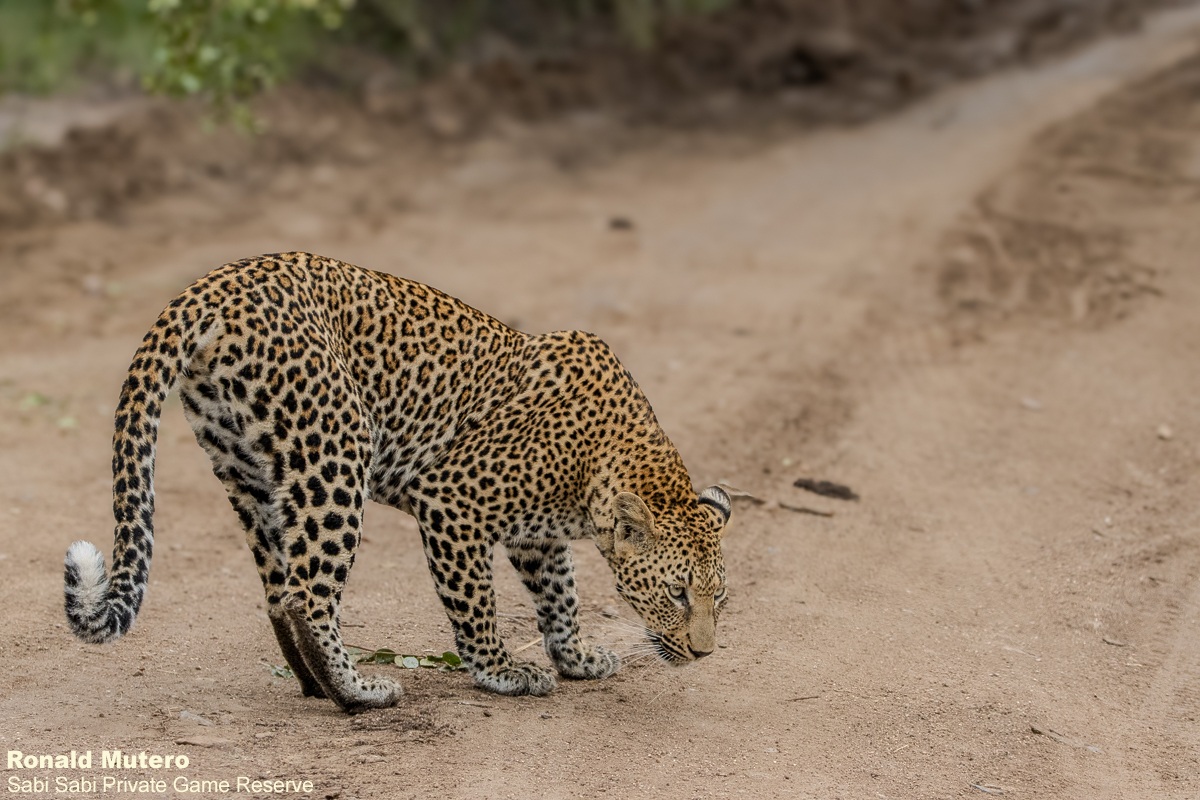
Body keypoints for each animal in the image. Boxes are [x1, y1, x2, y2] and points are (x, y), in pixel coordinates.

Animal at [63, 252, 732, 713]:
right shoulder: (451, 500)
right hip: (336, 450)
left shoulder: (536, 535)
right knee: (309, 595)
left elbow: (560, 594)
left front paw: (576, 657)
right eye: (676, 593)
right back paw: (358, 692)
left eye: (719, 597)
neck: (606, 456)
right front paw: (502, 671)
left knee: (279, 590)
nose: (704, 654)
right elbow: (477, 602)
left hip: (248, 472)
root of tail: (213, 282)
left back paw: (314, 685)